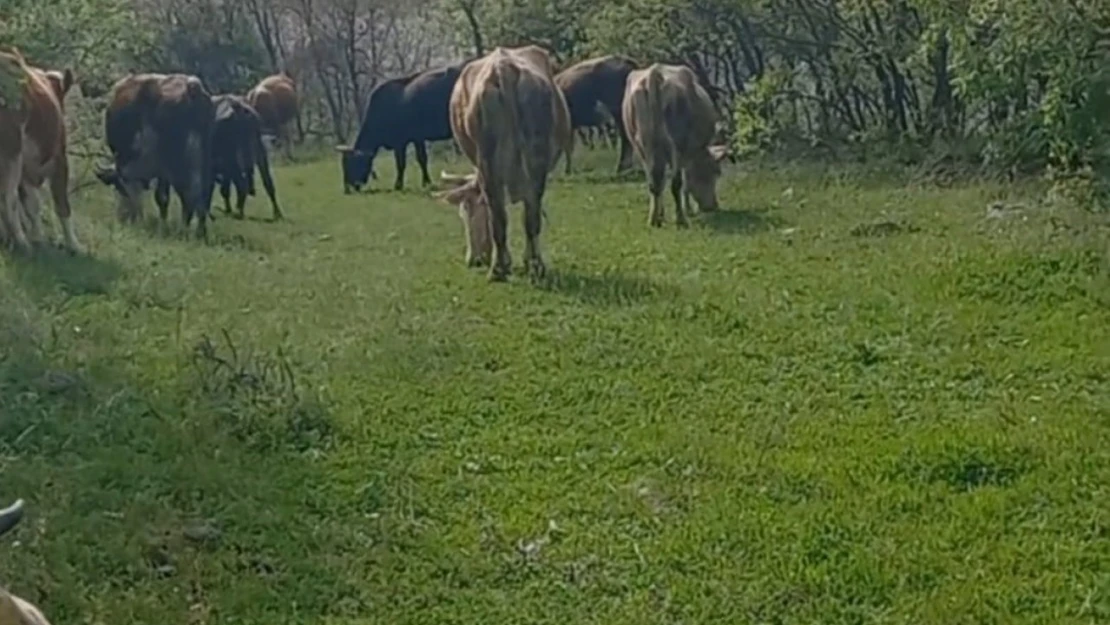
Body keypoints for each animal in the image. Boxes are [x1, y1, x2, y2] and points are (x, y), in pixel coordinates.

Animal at [0, 46, 80, 255]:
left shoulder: (27, 171)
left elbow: (32, 204)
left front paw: (38, 238)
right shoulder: (59, 159)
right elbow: (61, 203)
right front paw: (74, 245)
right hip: (12, 149)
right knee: (8, 198)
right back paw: (22, 243)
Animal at [97, 72, 216, 238]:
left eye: (118, 187)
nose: (122, 218)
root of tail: (192, 87)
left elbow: (159, 196)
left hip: (177, 161)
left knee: (189, 194)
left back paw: (184, 231)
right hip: (204, 156)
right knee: (203, 193)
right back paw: (199, 232)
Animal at [333, 62, 463, 193]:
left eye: (351, 164)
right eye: (343, 164)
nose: (347, 189)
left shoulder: (399, 142)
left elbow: (402, 163)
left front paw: (399, 185)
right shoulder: (417, 138)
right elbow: (422, 159)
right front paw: (426, 182)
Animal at [432, 46, 572, 284]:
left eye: (466, 213)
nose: (474, 260)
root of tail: (503, 67)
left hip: (490, 164)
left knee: (502, 215)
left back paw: (503, 268)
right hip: (532, 161)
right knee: (528, 216)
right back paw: (530, 265)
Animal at [626, 62, 728, 227]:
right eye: (715, 172)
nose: (713, 206)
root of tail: (655, 72)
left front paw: (661, 215)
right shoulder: (686, 155)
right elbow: (686, 182)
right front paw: (688, 210)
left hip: (642, 146)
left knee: (654, 182)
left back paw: (654, 219)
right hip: (676, 147)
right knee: (675, 183)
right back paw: (681, 219)